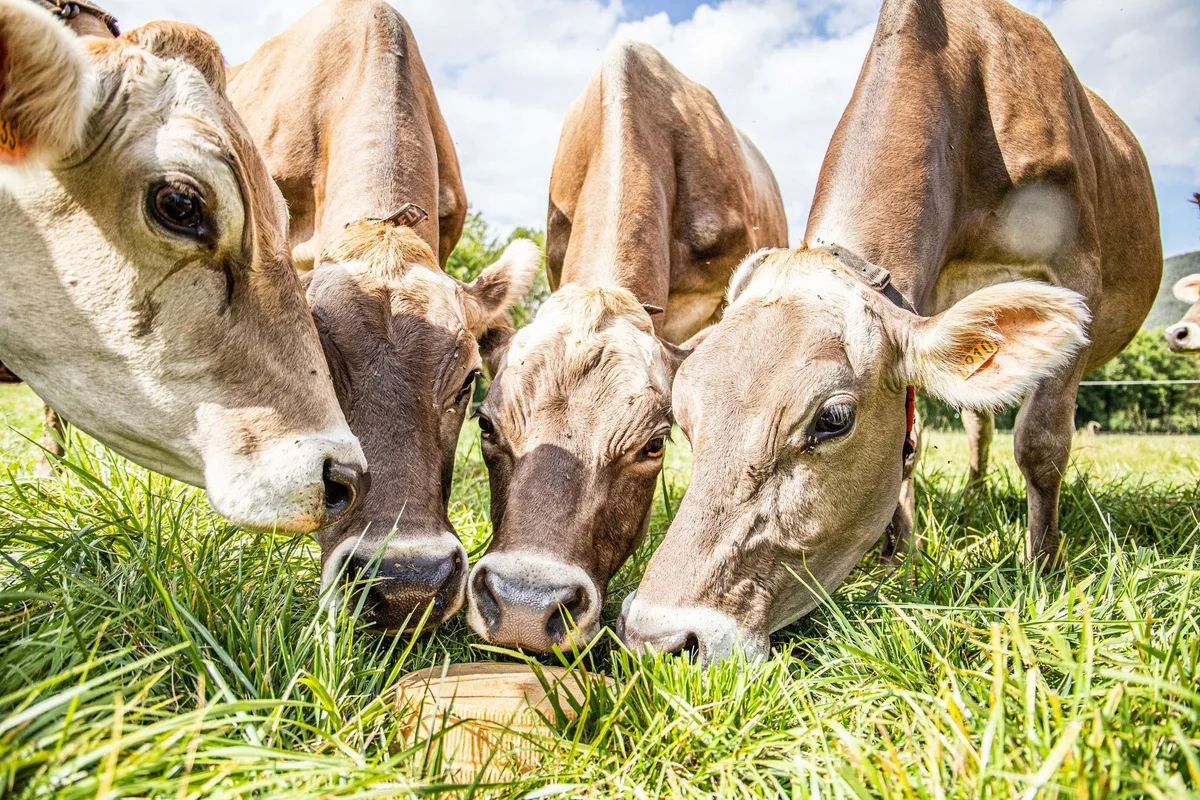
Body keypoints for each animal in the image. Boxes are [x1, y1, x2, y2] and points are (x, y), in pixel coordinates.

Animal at [619, 0, 1161, 665]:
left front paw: (1042, 569)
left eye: (832, 419)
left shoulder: (1075, 273)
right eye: (684, 418)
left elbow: (1040, 443)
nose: (658, 637)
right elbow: (915, 438)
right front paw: (898, 557)